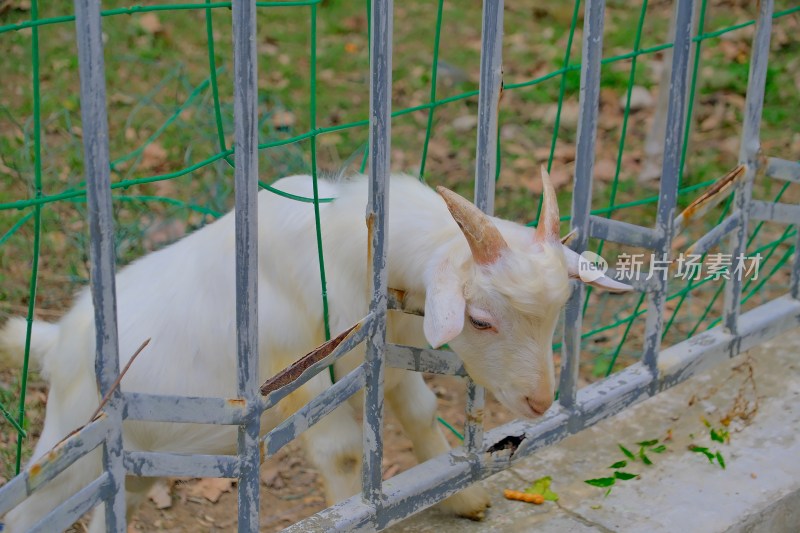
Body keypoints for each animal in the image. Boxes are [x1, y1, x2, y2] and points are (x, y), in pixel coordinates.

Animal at [0, 168, 624, 528]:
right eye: (480, 319)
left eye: (557, 312)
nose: (539, 402)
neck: (353, 245)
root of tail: (59, 338)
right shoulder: (302, 380)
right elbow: (343, 454)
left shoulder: (386, 360)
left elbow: (422, 413)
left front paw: (461, 500)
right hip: (74, 452)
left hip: (138, 465)